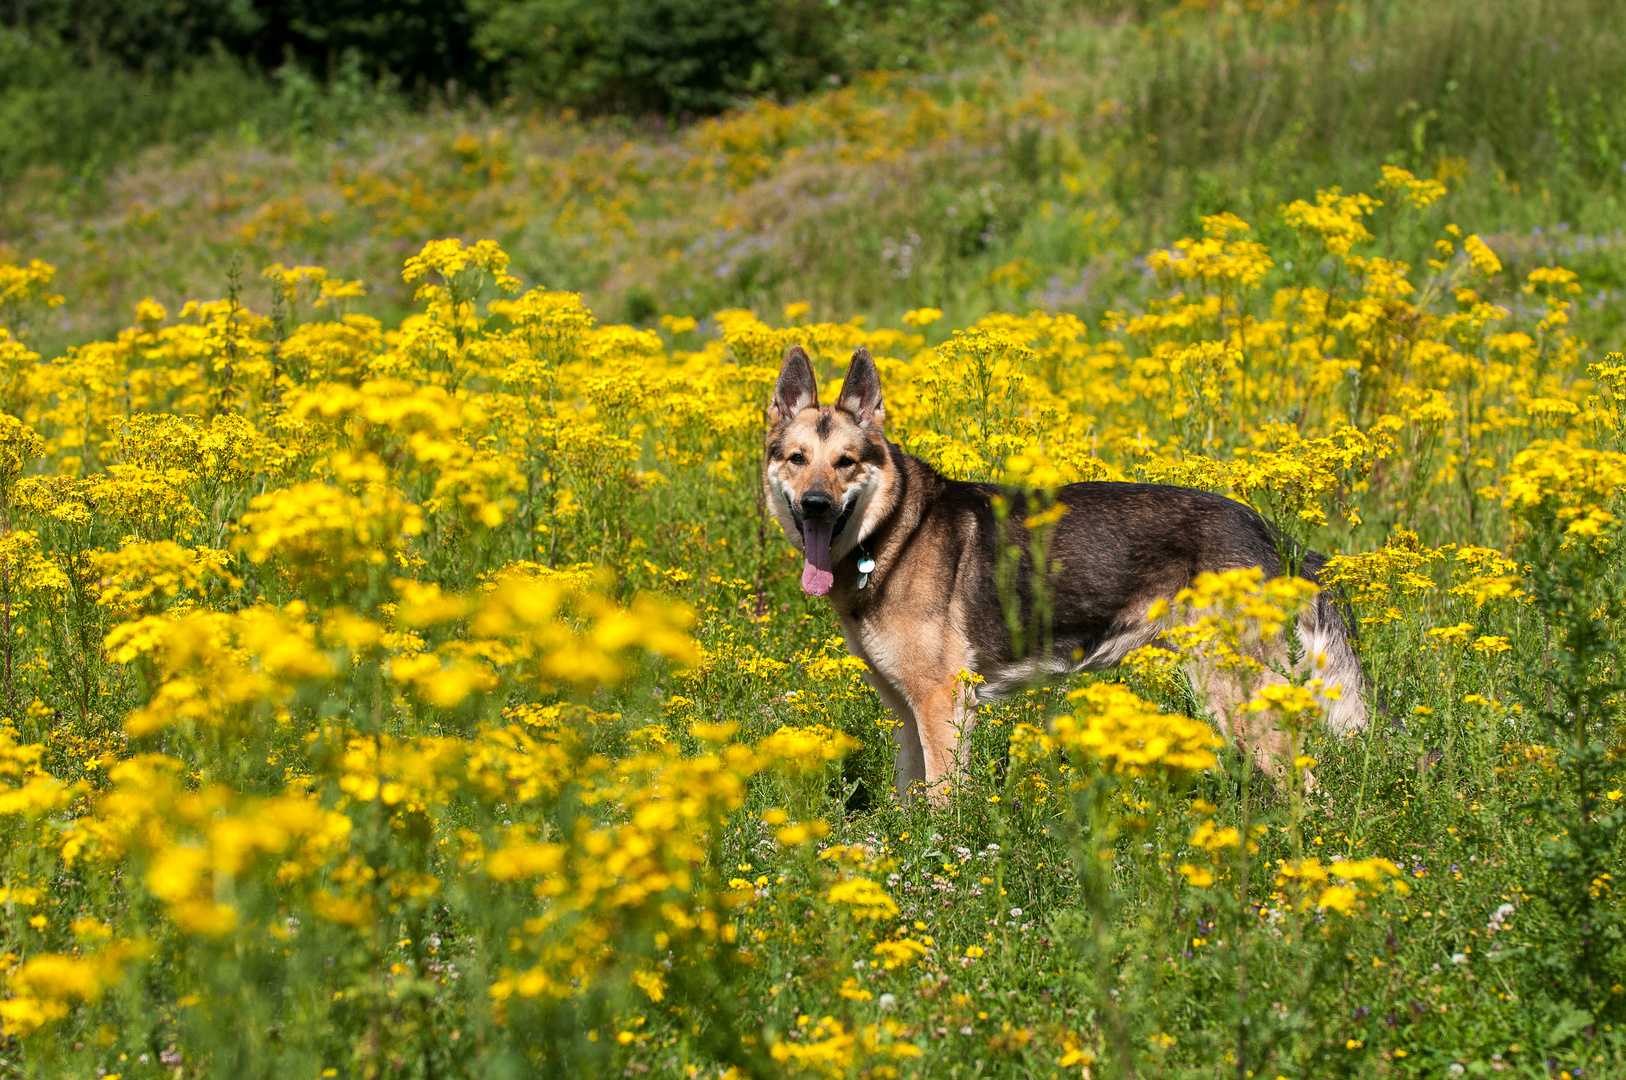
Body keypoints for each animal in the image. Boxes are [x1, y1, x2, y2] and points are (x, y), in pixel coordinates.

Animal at [764, 341, 1372, 796]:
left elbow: (943, 807)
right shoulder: (905, 711)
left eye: (846, 462)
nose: (815, 505)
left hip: (1236, 697)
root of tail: (1266, 528)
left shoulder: (942, 706)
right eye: (797, 459)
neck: (890, 531)